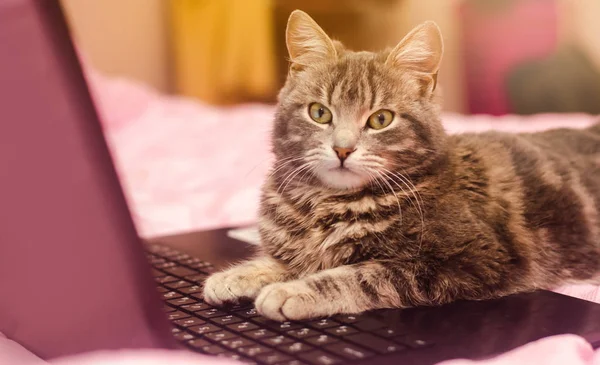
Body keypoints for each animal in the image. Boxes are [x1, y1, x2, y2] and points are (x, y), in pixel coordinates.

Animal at [203, 9, 600, 320]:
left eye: (381, 119)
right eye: (319, 113)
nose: (343, 149)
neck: (326, 203)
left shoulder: (472, 260)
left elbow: (363, 275)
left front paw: (295, 291)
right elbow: (283, 261)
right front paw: (238, 275)